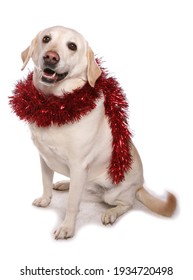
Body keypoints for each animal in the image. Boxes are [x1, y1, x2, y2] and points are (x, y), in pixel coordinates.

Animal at [20, 26, 176, 238]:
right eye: (46, 38)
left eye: (72, 46)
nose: (51, 57)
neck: (56, 107)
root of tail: (140, 185)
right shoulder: (44, 158)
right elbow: (45, 182)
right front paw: (45, 199)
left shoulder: (78, 165)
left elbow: (72, 203)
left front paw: (67, 228)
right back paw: (64, 184)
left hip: (113, 192)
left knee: (126, 204)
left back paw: (111, 213)